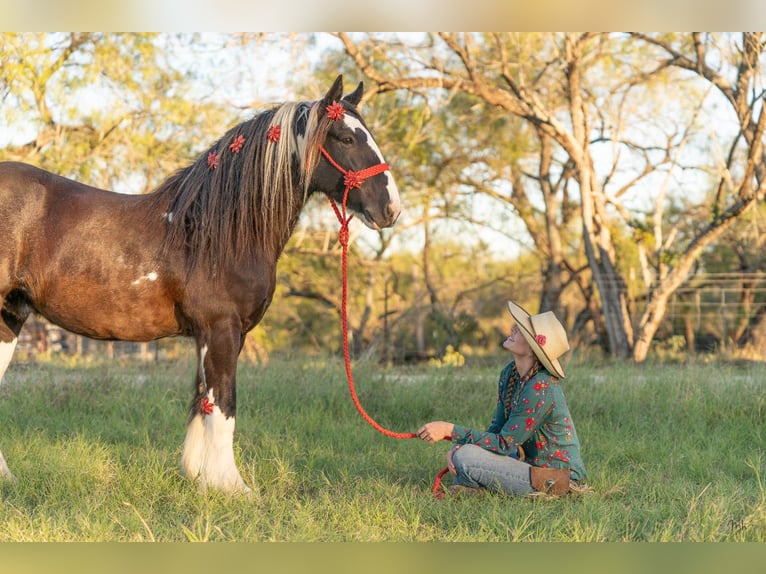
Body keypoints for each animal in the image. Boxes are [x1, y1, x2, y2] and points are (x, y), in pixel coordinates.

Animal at [0, 74, 404, 492]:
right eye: (347, 138)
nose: (391, 208)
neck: (220, 231)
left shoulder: (211, 335)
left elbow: (200, 402)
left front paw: (198, 478)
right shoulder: (221, 329)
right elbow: (224, 404)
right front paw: (234, 487)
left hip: (10, 316)